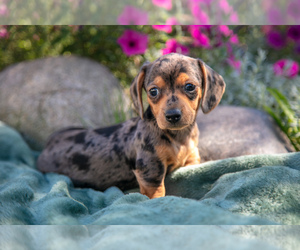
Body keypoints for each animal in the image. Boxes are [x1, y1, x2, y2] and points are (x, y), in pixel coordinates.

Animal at [37, 53, 225, 199]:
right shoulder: (150, 168)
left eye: (190, 86)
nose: (172, 115)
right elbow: (157, 193)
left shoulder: (192, 159)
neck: (178, 136)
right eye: (153, 91)